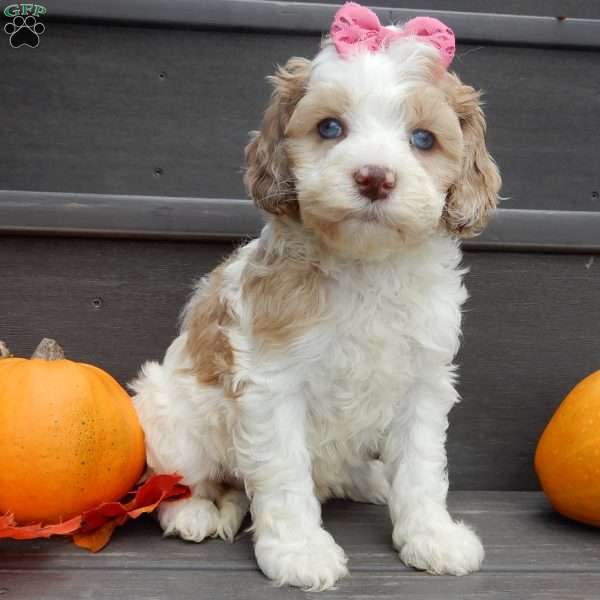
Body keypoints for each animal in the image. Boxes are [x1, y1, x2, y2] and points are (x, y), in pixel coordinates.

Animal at [131, 1, 502, 592]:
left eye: (424, 139)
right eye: (330, 127)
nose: (374, 177)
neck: (368, 267)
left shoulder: (424, 381)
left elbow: (422, 468)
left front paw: (431, 536)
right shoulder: (273, 386)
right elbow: (284, 475)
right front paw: (299, 551)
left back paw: (367, 478)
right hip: (169, 417)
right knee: (174, 480)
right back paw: (192, 511)